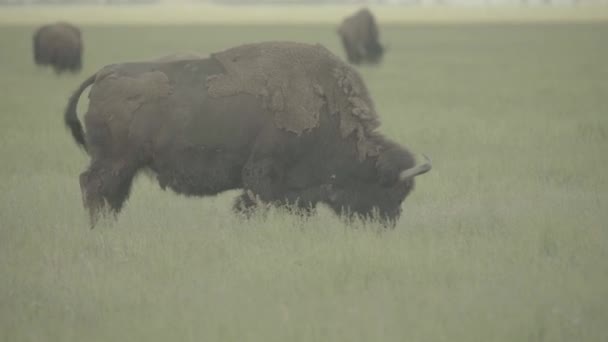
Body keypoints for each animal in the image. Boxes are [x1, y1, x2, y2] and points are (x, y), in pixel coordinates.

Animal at [64, 40, 430, 227]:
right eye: (390, 190)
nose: (387, 225)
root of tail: (104, 73)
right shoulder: (263, 173)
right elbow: (252, 204)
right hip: (114, 162)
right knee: (93, 187)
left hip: (123, 166)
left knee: (109, 195)